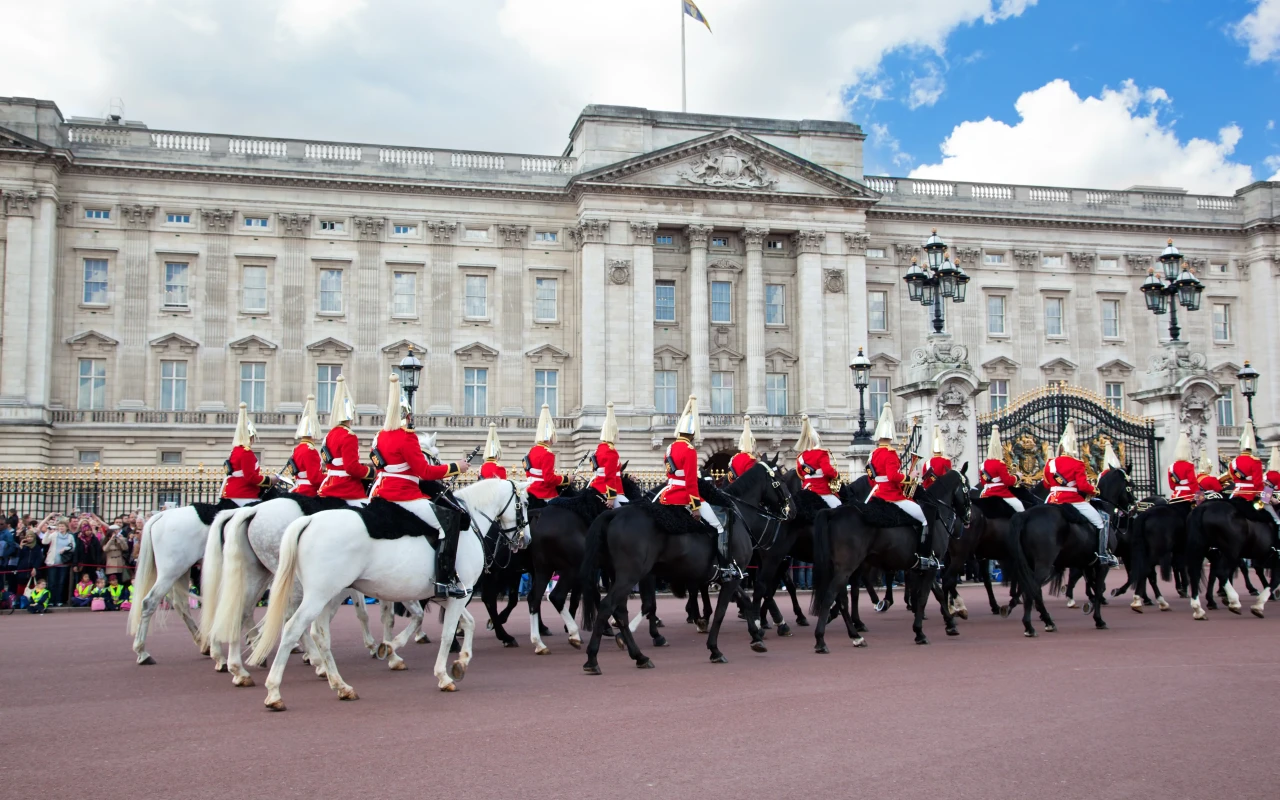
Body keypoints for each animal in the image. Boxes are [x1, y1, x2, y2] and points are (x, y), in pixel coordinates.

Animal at [247, 476, 527, 706]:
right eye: (523, 504)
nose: (525, 540)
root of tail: (309, 519)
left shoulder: (449, 595)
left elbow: (466, 623)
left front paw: (460, 662)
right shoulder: (461, 592)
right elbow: (448, 633)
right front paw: (442, 674)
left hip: (328, 594)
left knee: (319, 633)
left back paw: (340, 685)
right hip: (319, 594)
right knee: (292, 627)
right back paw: (274, 691)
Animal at [578, 458, 788, 670]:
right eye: (780, 479)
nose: (791, 508)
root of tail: (614, 514)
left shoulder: (727, 575)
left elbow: (743, 600)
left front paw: (756, 635)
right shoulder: (729, 577)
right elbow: (719, 612)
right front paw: (715, 648)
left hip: (621, 575)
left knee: (619, 610)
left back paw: (639, 656)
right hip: (630, 575)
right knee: (607, 606)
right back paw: (593, 658)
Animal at [808, 471, 967, 652]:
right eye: (966, 488)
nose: (967, 517)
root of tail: (833, 512)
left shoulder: (924, 565)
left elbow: (937, 593)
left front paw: (950, 623)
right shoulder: (932, 566)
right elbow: (923, 597)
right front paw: (919, 632)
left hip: (842, 568)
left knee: (842, 599)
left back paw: (855, 635)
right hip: (847, 568)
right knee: (830, 596)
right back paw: (821, 640)